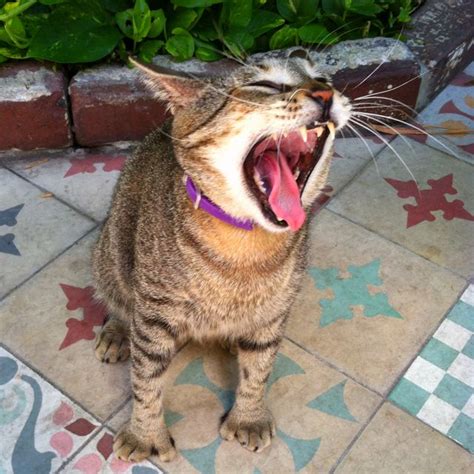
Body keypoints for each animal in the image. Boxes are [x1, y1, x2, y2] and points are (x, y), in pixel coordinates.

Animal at [92, 51, 352, 462]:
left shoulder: (275, 312)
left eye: (325, 79)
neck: (243, 246)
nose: (325, 94)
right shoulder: (153, 314)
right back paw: (118, 330)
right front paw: (145, 433)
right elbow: (146, 378)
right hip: (112, 247)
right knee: (117, 294)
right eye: (264, 85)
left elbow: (259, 368)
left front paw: (248, 415)